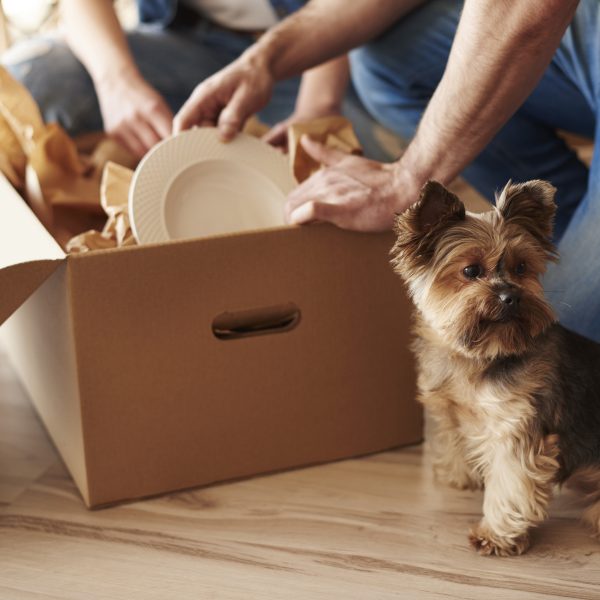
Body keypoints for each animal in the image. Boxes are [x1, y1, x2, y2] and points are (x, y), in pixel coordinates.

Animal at [392, 179, 596, 556]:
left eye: (522, 268)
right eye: (471, 271)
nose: (511, 296)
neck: (481, 353)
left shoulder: (516, 425)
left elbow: (511, 483)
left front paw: (496, 535)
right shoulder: (452, 408)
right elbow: (456, 438)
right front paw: (459, 475)